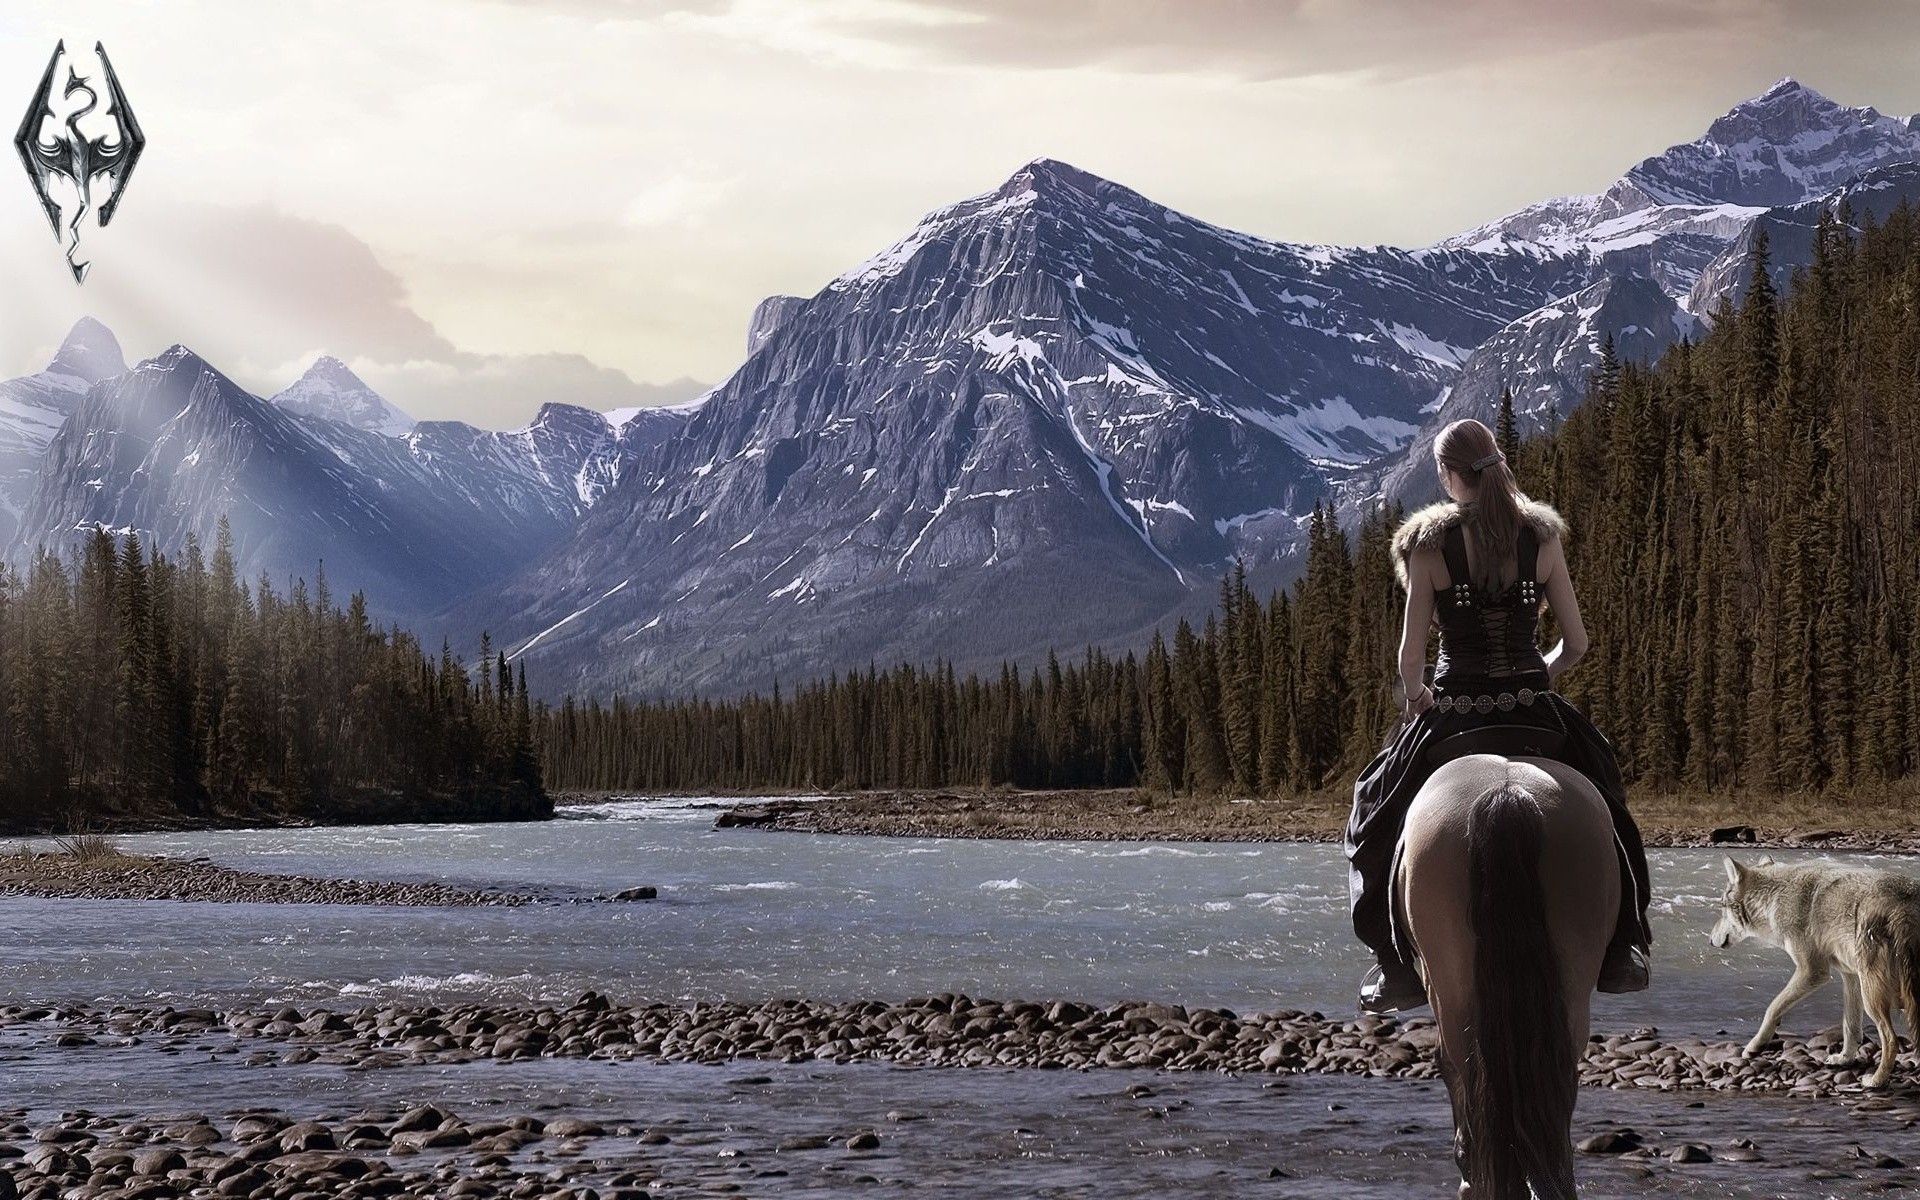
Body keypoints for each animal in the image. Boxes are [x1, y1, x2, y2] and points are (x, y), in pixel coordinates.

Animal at [1712, 852, 1920, 1082]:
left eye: (1721, 907)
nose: (1710, 940)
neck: (1774, 898)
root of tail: (1905, 909)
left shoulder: (1812, 971)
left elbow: (1773, 1007)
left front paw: (1754, 1046)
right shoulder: (1849, 975)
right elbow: (1850, 1026)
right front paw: (1844, 1058)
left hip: (1872, 997)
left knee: (1891, 1039)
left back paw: (1876, 1081)